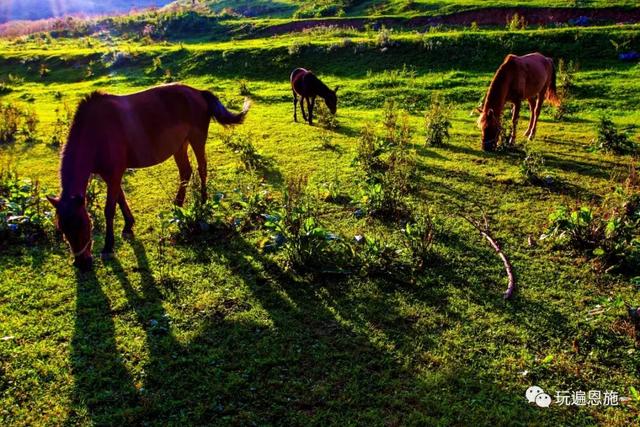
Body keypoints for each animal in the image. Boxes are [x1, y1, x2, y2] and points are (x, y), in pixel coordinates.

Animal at [47, 83, 250, 270]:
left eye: (82, 225)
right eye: (61, 228)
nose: (82, 263)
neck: (96, 132)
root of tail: (198, 92)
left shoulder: (114, 173)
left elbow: (109, 209)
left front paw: (108, 247)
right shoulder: (108, 174)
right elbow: (121, 198)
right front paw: (128, 225)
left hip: (197, 139)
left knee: (202, 169)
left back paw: (203, 201)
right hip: (180, 145)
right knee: (186, 172)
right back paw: (177, 204)